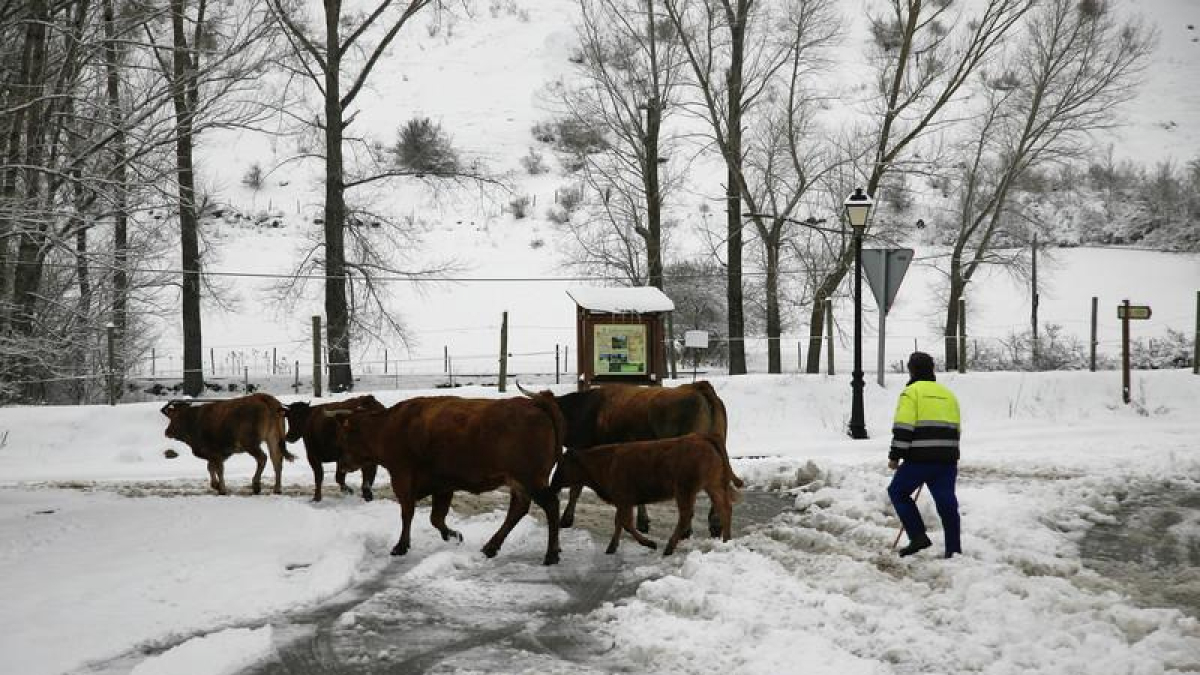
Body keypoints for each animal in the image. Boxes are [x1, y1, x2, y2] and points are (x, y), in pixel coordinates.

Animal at [161, 393, 294, 495]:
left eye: (173, 417)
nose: (167, 432)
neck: (195, 419)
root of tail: (263, 398)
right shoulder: (219, 454)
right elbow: (211, 467)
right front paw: (216, 485)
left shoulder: (215, 453)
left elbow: (218, 469)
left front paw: (222, 489)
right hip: (273, 440)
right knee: (276, 461)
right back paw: (277, 489)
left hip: (251, 444)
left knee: (262, 458)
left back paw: (256, 486)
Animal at [335, 393, 565, 565]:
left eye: (345, 436)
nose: (342, 463)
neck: (387, 426)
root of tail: (535, 403)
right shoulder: (443, 487)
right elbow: (436, 518)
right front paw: (454, 535)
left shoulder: (403, 479)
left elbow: (408, 513)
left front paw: (400, 547)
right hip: (519, 483)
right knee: (518, 510)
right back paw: (490, 548)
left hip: (530, 480)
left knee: (550, 505)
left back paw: (551, 555)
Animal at [550, 433, 739, 556]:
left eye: (563, 464)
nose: (553, 485)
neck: (606, 462)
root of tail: (702, 437)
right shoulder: (624, 502)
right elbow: (622, 523)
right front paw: (613, 547)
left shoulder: (623, 500)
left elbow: (624, 523)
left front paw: (648, 544)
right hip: (712, 486)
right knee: (725, 508)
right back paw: (726, 541)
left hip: (685, 491)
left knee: (686, 516)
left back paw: (668, 548)